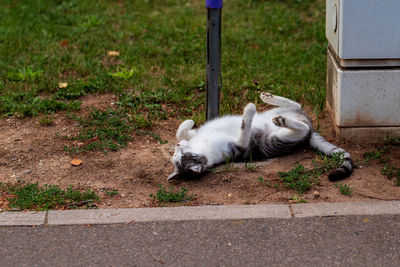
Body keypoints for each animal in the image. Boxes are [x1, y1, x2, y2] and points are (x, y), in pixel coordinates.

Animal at [168, 92, 354, 182]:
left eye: (179, 155)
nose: (177, 147)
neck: (202, 145)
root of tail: (311, 133)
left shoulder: (198, 133)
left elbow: (181, 131)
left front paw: (189, 122)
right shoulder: (241, 145)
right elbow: (244, 126)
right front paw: (249, 111)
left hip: (274, 113)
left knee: (297, 105)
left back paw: (267, 97)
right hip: (278, 139)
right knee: (302, 127)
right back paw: (281, 120)